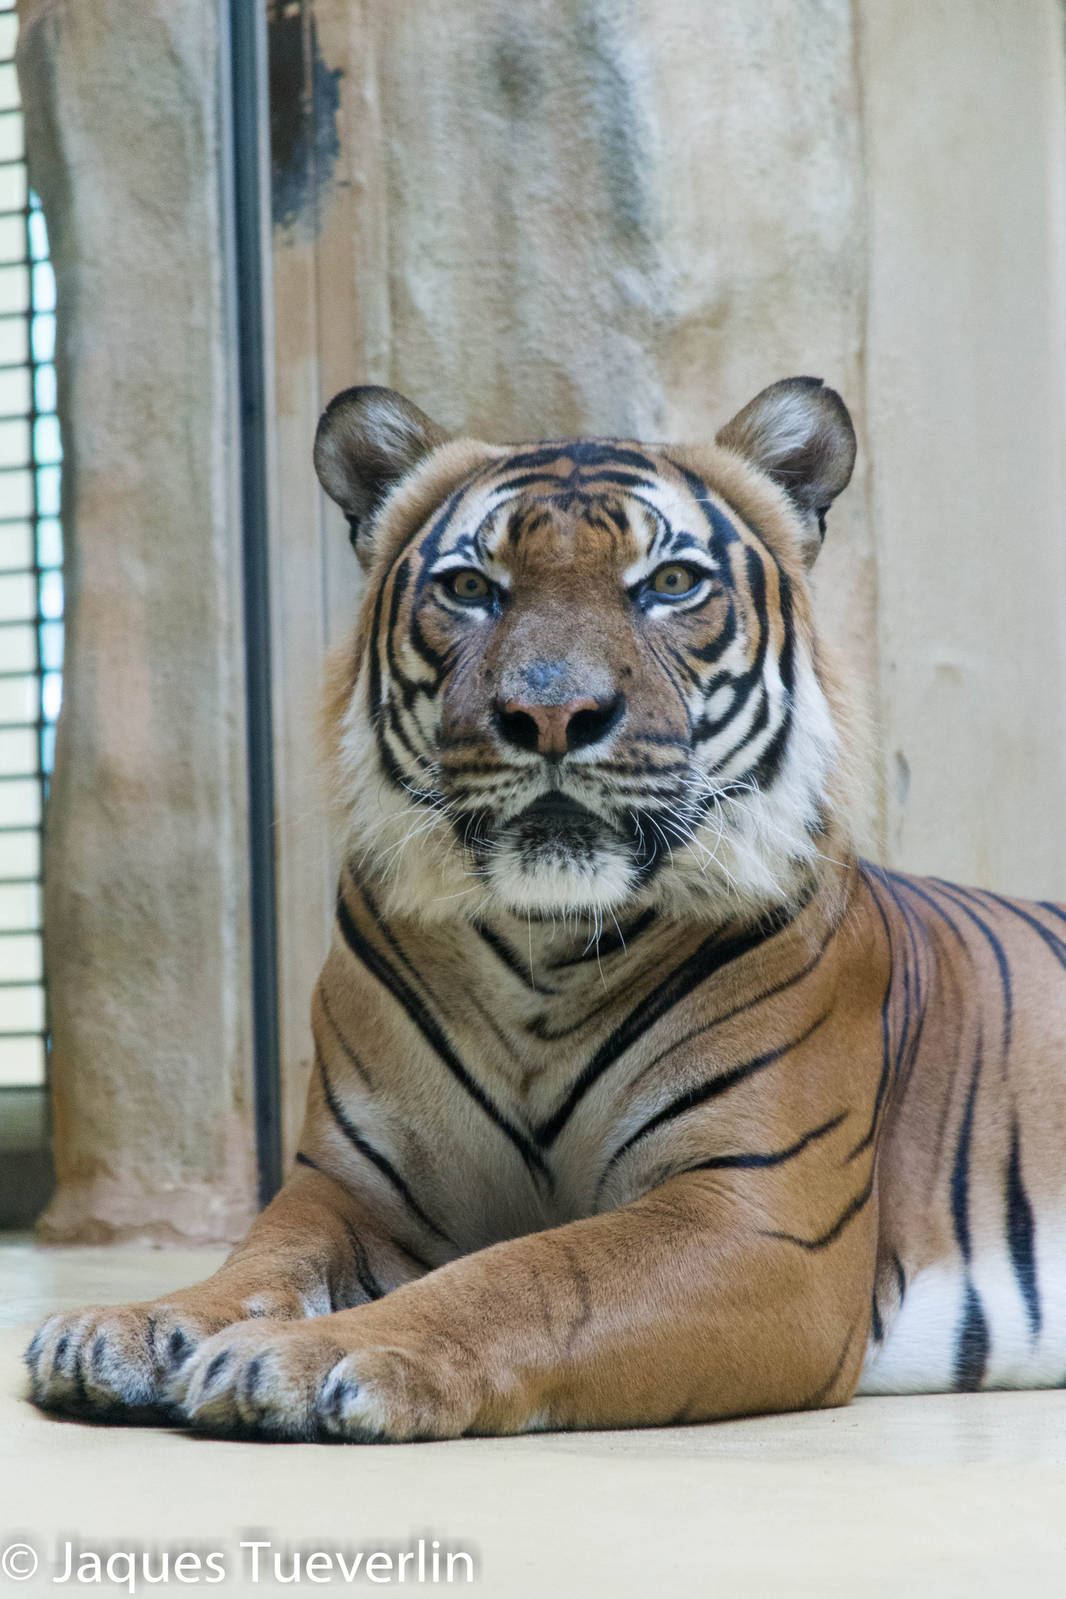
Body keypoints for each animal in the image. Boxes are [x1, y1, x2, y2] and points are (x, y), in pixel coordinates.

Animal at [24, 375, 1066, 1441]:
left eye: (670, 582)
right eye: (470, 588)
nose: (554, 713)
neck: (546, 945)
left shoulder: (759, 1213)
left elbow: (534, 1274)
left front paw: (311, 1352)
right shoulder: (345, 1185)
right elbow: (260, 1256)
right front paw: (132, 1327)